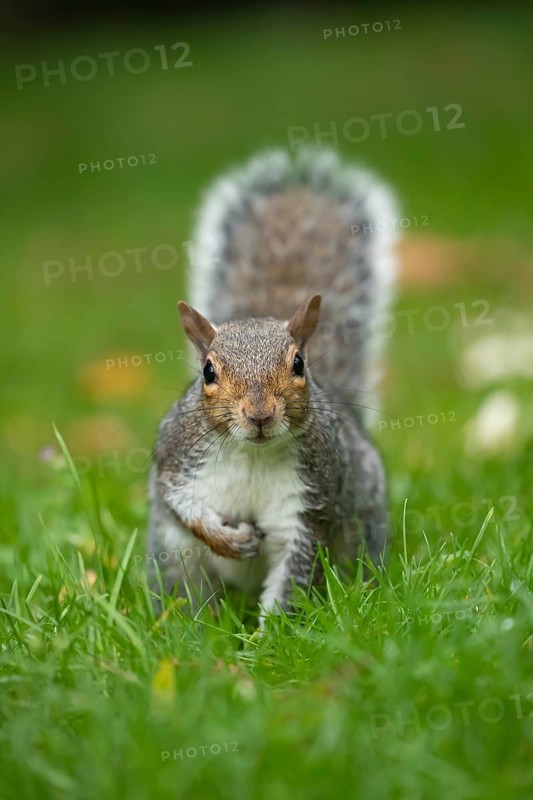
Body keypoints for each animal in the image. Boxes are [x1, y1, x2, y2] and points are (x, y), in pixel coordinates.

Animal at [146, 148, 398, 623]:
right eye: (208, 372)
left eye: (298, 364)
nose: (260, 415)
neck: (253, 455)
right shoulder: (178, 457)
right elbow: (181, 503)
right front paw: (229, 539)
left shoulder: (306, 509)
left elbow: (290, 580)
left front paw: (268, 636)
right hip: (173, 559)